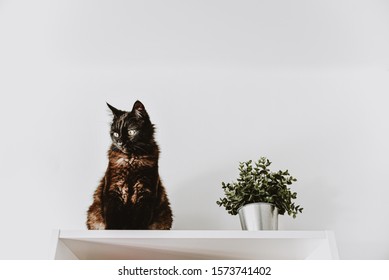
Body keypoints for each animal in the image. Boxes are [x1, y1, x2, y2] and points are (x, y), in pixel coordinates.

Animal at [87, 100, 174, 230]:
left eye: (131, 132)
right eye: (116, 134)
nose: (120, 142)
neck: (131, 160)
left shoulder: (145, 192)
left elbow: (139, 222)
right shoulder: (113, 190)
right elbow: (112, 220)